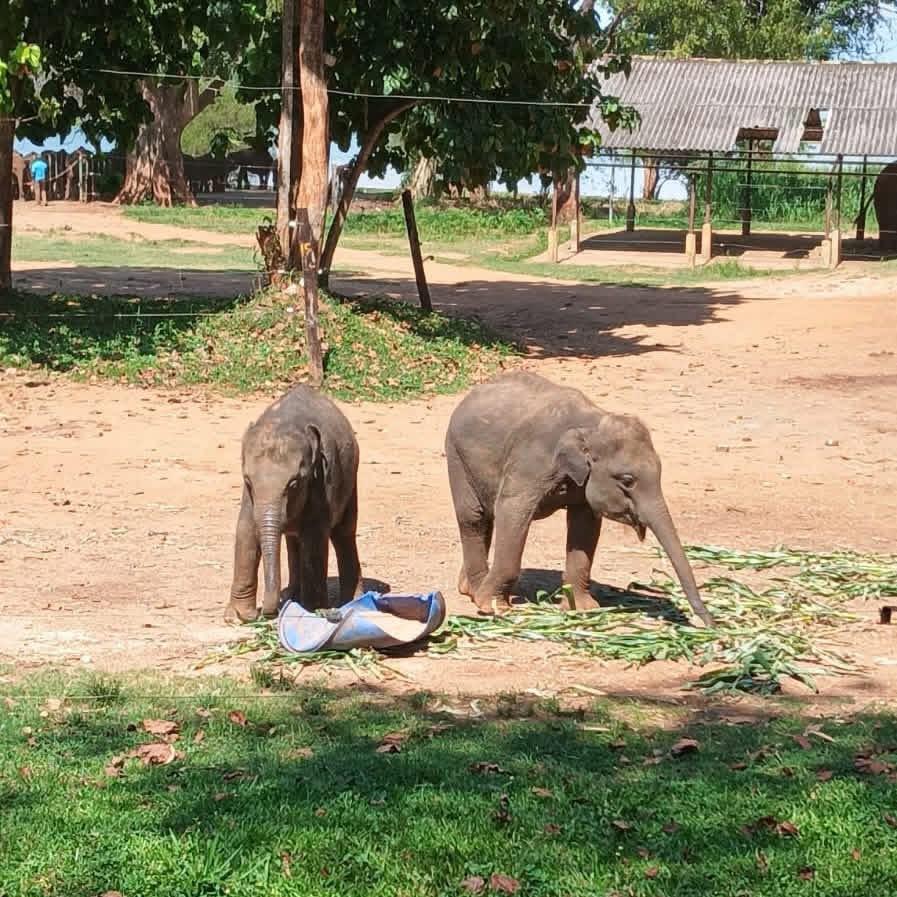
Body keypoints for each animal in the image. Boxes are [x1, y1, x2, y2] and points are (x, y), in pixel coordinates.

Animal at [227, 385, 363, 622]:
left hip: (350, 480)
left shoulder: (321, 481)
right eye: (248, 481)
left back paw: (352, 599)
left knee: (344, 534)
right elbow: (246, 531)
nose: (265, 613)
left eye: (294, 483)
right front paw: (237, 616)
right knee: (293, 538)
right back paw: (292, 595)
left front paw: (312, 610)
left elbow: (314, 537)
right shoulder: (249, 497)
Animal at [444, 371, 714, 626]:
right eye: (627, 480)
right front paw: (493, 608)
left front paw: (582, 610)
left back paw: (468, 587)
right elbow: (512, 512)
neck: (592, 424)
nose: (709, 623)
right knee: (474, 517)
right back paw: (477, 590)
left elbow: (585, 527)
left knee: (486, 517)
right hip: (456, 456)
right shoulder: (529, 464)